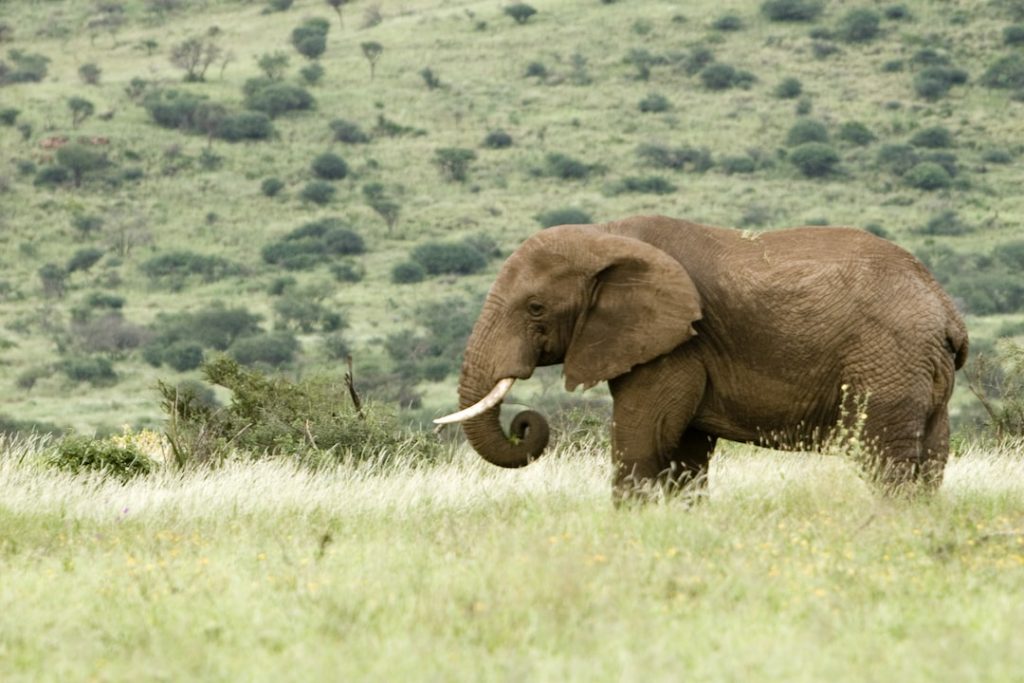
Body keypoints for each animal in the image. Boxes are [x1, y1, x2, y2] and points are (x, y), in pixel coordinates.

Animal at [434, 216, 966, 499]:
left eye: (535, 308)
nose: (524, 423)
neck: (608, 235)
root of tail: (945, 308)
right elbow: (684, 451)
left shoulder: (675, 345)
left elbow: (644, 438)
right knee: (929, 460)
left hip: (888, 358)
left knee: (884, 460)